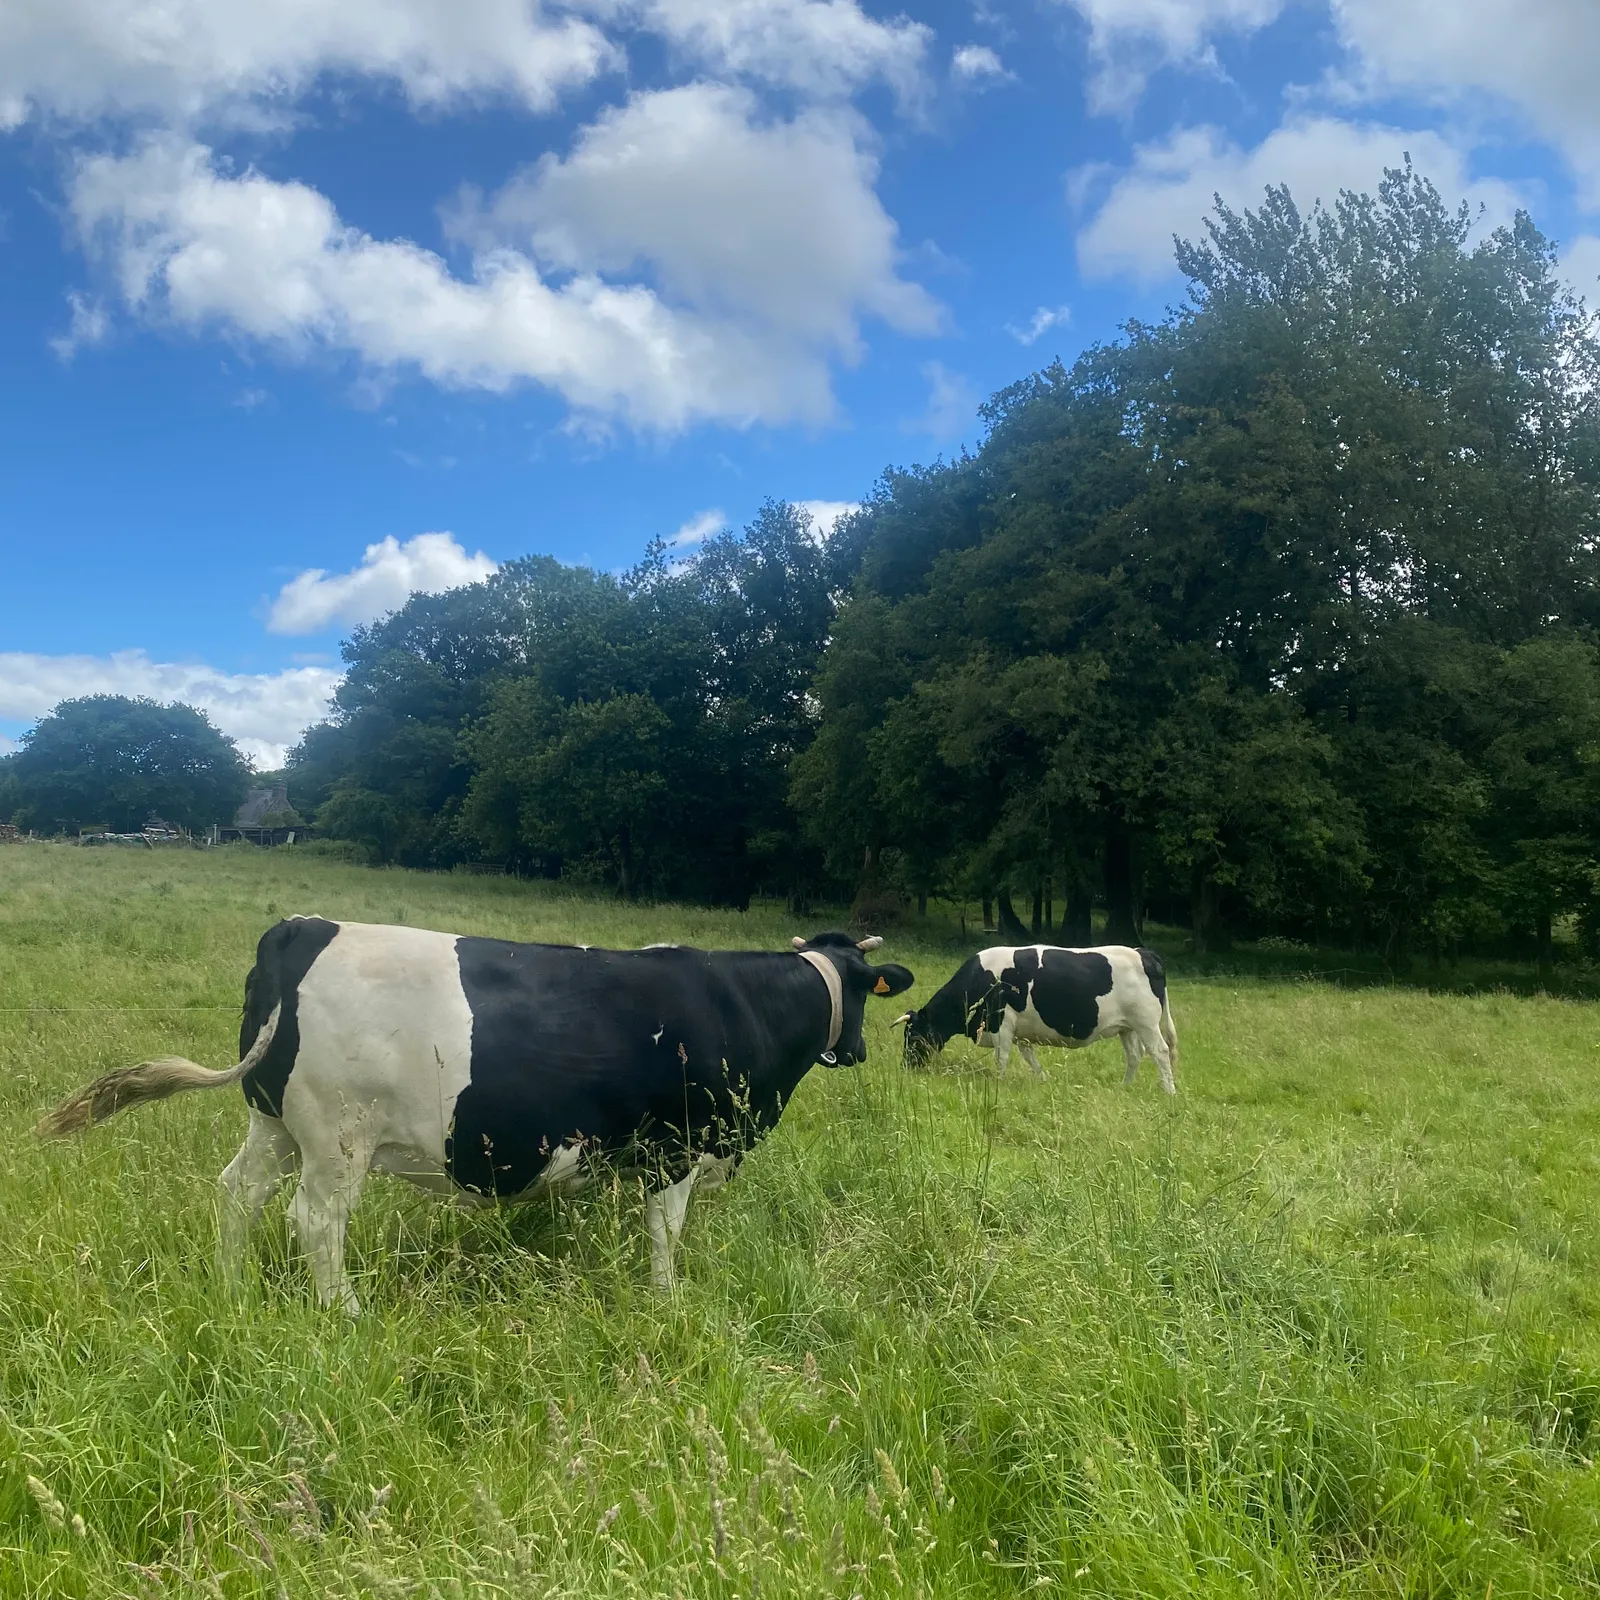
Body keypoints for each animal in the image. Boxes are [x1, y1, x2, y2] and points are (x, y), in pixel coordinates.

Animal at [34, 919, 915, 1313]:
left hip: (274, 1124)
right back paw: (343, 1311)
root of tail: (304, 926)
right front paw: (666, 1302)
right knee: (314, 1221)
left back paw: (229, 1286)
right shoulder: (678, 1147)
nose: (858, 1054)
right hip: (337, 1139)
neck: (745, 1003)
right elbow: (666, 1234)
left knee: (237, 1194)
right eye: (865, 993)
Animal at [897, 944, 1177, 1091]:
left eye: (913, 1036)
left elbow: (1002, 1058)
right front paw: (1043, 1079)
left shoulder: (1001, 1024)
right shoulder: (1021, 1032)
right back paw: (1124, 1087)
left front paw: (998, 1083)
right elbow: (1029, 1057)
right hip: (1127, 1027)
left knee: (1160, 1052)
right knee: (1135, 1055)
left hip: (1146, 1023)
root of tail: (1144, 952)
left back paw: (1169, 1092)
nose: (906, 1066)